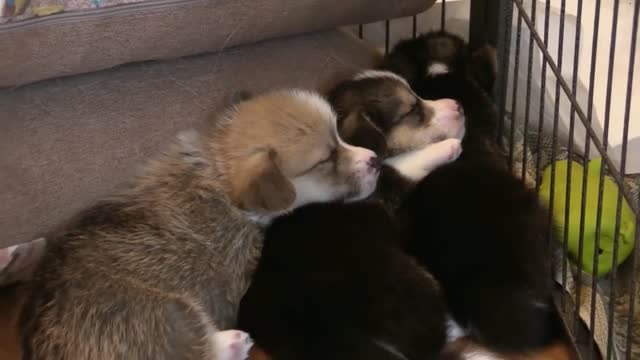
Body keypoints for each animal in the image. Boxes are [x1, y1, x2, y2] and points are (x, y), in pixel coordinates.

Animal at [18, 88, 380, 360]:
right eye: (326, 159)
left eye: (340, 135)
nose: (375, 160)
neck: (222, 176)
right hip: (172, 312)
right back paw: (231, 343)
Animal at [236, 71, 464, 360]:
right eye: (412, 109)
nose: (459, 105)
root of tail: (326, 326)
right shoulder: (387, 183)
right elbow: (402, 163)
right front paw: (449, 146)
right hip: (416, 280)